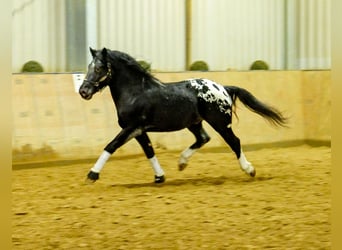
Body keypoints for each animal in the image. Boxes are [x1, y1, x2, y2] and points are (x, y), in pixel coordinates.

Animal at [79, 47, 288, 184]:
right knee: (203, 138)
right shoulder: (138, 130)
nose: (83, 91)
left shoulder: (132, 127)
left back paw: (249, 170)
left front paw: (92, 175)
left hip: (220, 123)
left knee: (234, 142)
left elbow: (111, 146)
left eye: (98, 68)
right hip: (194, 123)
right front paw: (159, 177)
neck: (136, 92)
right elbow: (149, 151)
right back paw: (181, 162)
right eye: (88, 66)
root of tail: (224, 88)